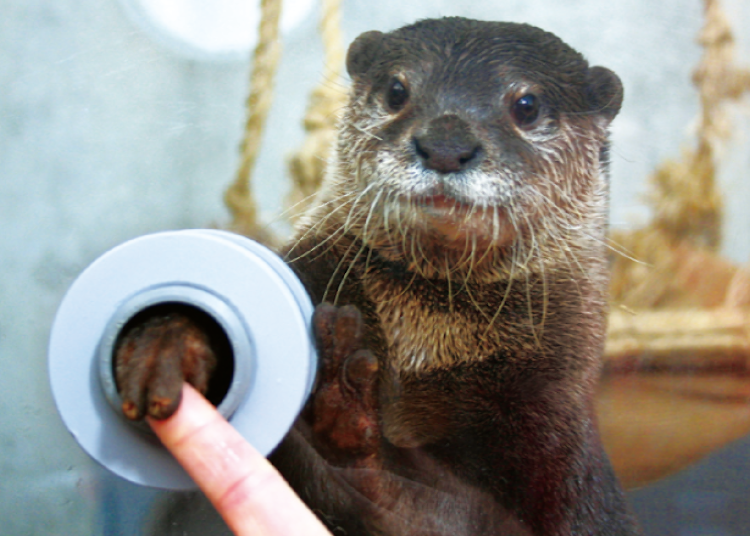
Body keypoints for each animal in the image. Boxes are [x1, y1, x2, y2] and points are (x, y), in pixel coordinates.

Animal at [116, 16, 640, 536]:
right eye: (396, 90)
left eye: (527, 106)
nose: (445, 145)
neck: (431, 344)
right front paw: (171, 339)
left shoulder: (555, 435)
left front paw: (351, 437)